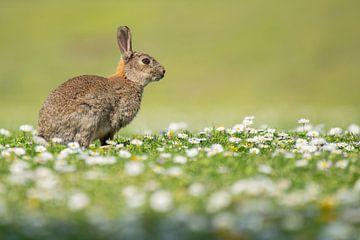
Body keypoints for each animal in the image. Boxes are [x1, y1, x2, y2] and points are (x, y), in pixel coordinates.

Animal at [37, 25, 166, 146]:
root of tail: (46, 135)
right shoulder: (114, 123)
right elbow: (108, 137)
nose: (163, 71)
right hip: (88, 117)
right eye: (146, 61)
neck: (129, 78)